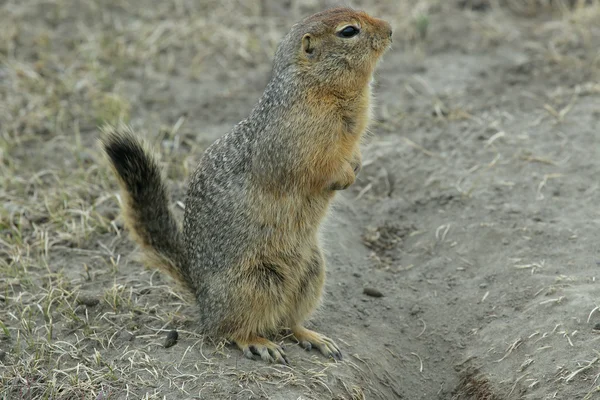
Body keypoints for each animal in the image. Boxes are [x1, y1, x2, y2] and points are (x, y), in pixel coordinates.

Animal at [101, 7, 392, 366]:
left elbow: (353, 155)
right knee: (230, 331)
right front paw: (345, 175)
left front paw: (357, 165)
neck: (317, 87)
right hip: (253, 284)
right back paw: (259, 343)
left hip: (312, 273)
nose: (391, 30)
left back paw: (314, 338)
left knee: (287, 322)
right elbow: (315, 169)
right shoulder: (296, 142)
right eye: (349, 31)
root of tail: (202, 298)